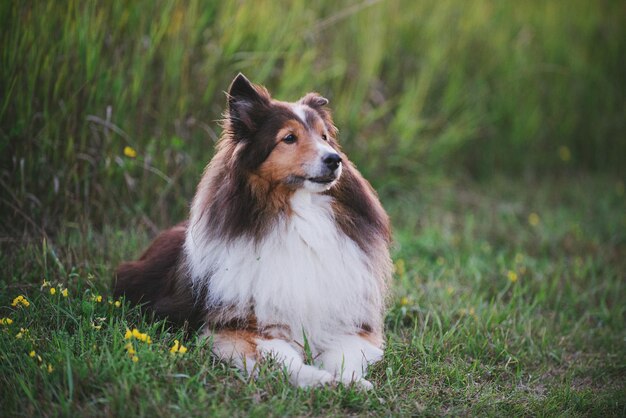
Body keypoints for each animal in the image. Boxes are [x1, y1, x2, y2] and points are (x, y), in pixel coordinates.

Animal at [114, 74, 390, 388]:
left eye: (324, 137)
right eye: (289, 138)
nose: (334, 160)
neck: (300, 217)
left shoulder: (348, 325)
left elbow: (343, 356)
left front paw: (352, 382)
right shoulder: (240, 329)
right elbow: (285, 360)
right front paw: (322, 381)